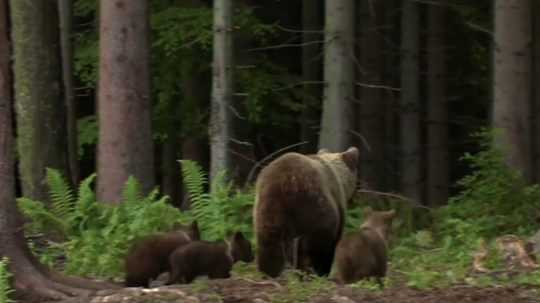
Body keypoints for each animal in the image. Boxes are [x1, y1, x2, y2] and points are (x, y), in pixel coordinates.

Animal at [253, 147, 358, 278]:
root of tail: (288, 182)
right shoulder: (337, 203)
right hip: (314, 204)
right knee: (315, 247)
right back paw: (312, 272)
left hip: (268, 206)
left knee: (269, 243)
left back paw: (269, 273)